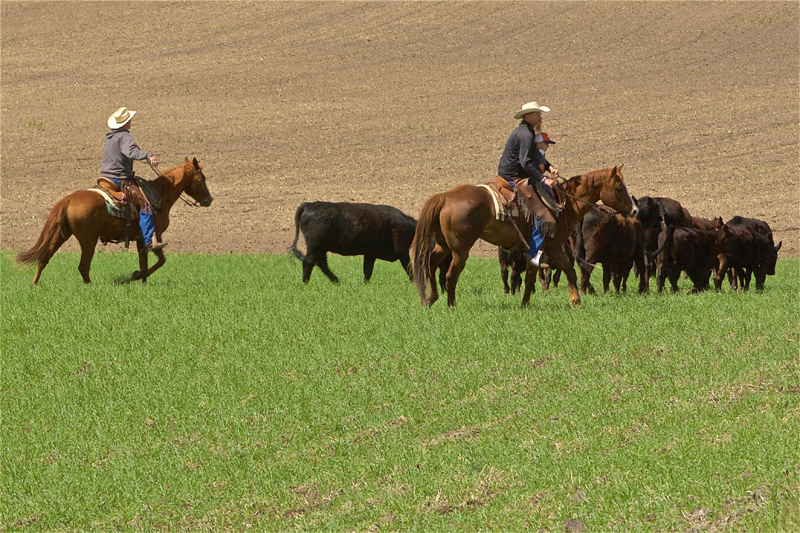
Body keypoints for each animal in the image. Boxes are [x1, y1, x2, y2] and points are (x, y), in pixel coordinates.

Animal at [291, 201, 447, 288]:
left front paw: (365, 284)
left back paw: (336, 281)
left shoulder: (370, 253)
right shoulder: (402, 252)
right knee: (309, 261)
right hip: (315, 245)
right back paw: (306, 282)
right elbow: (409, 268)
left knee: (321, 263)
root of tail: (309, 205)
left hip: (320, 248)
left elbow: (367, 271)